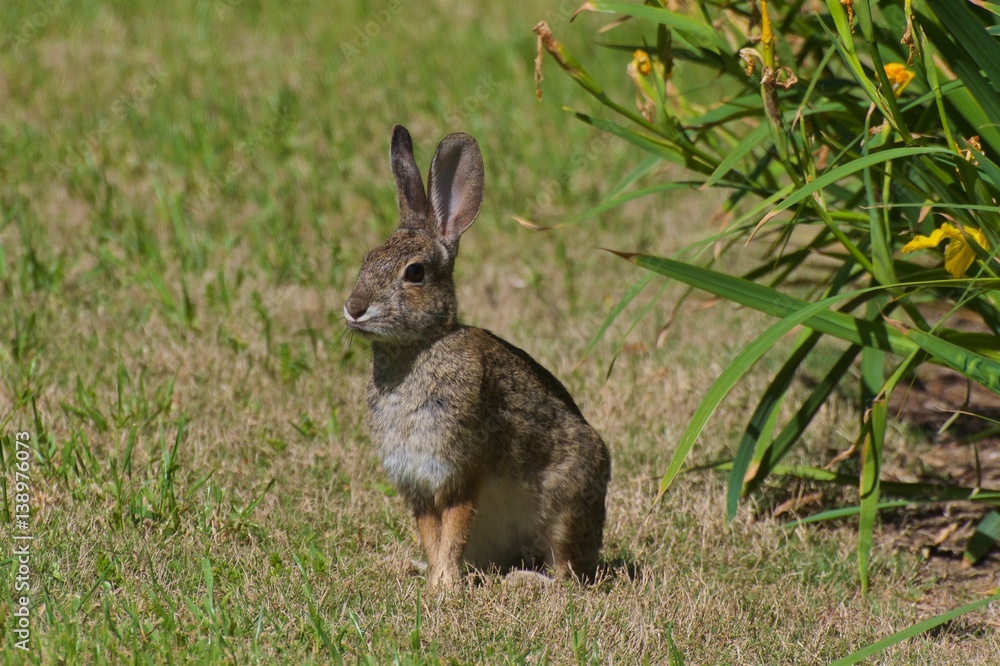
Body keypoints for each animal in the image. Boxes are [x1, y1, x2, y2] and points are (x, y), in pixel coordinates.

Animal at [344, 125, 610, 589]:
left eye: (415, 272)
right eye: (368, 259)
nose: (354, 308)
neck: (419, 347)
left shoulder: (459, 471)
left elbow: (454, 528)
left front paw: (443, 587)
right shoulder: (417, 484)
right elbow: (431, 534)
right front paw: (434, 580)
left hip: (566, 507)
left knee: (567, 573)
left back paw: (526, 581)